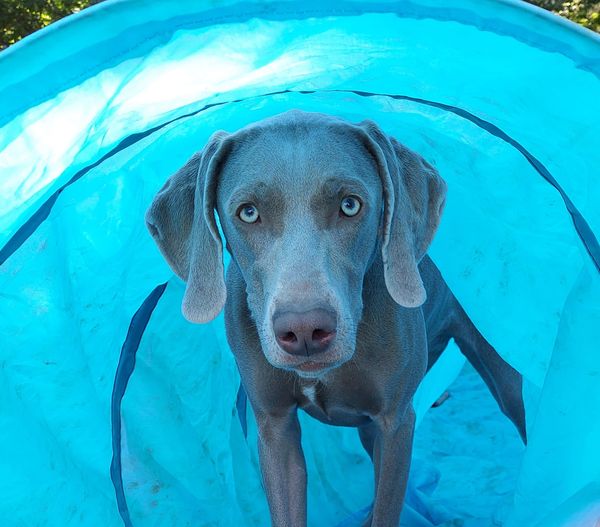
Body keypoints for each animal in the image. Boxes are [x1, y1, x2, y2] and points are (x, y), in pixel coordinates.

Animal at [145, 111, 524, 527]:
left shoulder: (395, 422)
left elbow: (388, 508)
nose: (304, 330)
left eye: (350, 205)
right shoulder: (275, 427)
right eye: (248, 212)